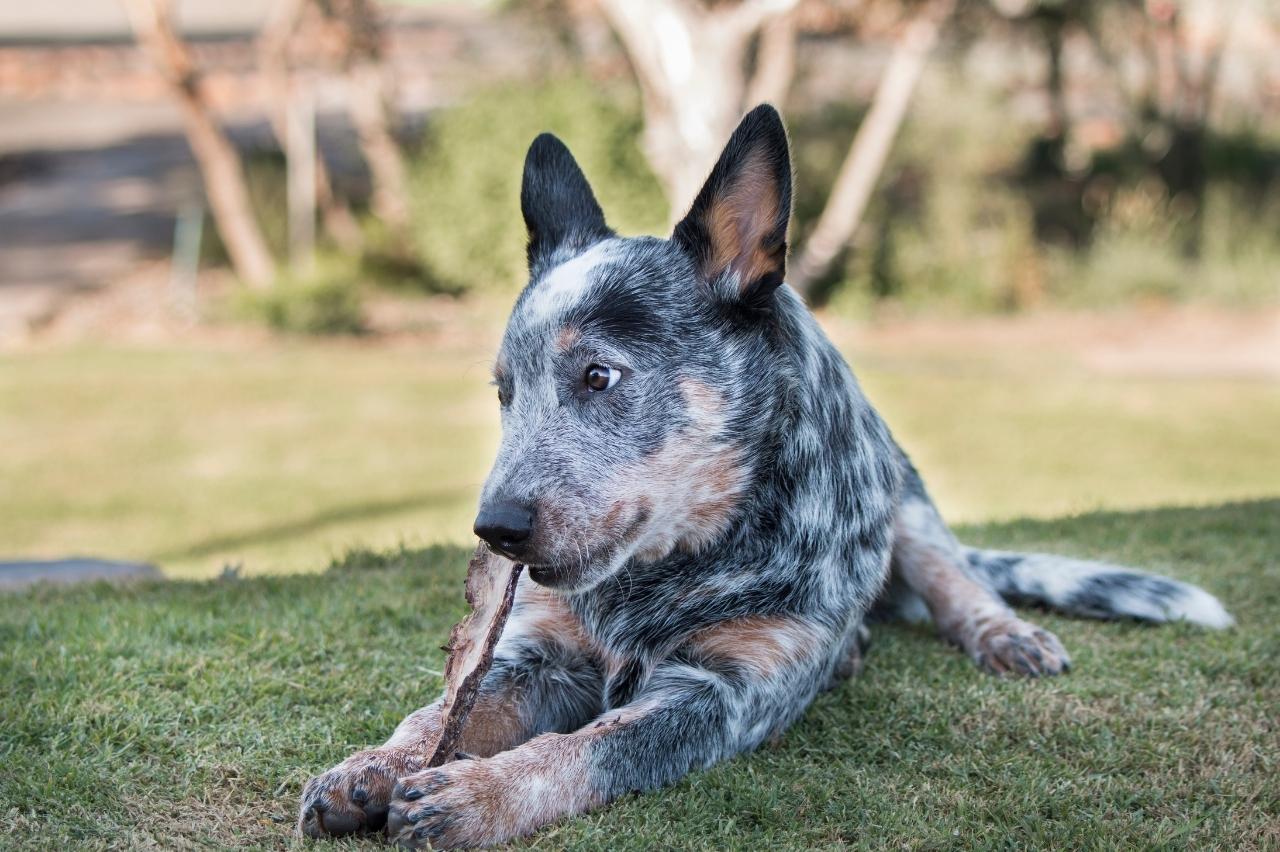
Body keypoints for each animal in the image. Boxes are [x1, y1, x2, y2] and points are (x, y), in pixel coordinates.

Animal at [296, 104, 1228, 844]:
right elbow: (443, 707)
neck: (678, 564)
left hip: (906, 495)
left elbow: (592, 749)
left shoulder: (724, 693)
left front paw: (478, 793)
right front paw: (376, 763)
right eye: (504, 393)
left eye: (599, 376)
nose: (493, 531)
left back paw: (998, 632)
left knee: (954, 575)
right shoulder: (540, 649)